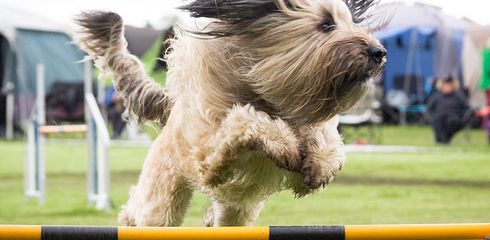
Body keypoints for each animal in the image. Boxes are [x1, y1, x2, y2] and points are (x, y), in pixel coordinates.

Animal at [74, 0, 384, 226]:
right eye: (326, 24)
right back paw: (127, 221)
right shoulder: (208, 156)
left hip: (235, 212)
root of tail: (172, 109)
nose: (378, 52)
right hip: (163, 197)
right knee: (141, 210)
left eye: (350, 22)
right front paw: (284, 144)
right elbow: (244, 121)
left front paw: (320, 164)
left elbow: (324, 137)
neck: (268, 96)